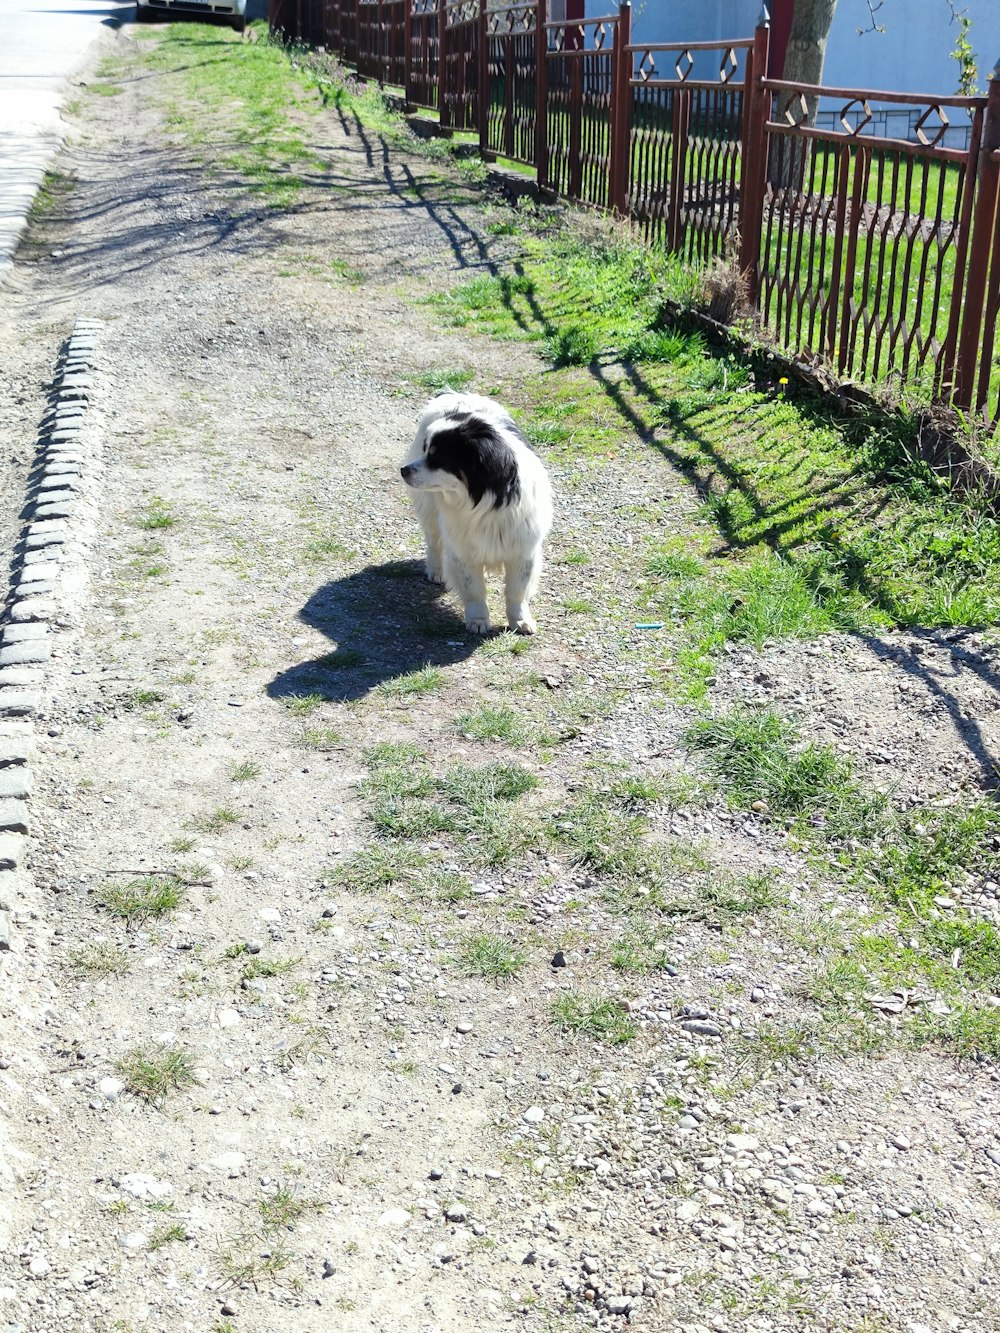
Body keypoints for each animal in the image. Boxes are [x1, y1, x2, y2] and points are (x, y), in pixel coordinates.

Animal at [402, 389, 557, 634]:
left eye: (437, 456)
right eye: (426, 449)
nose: (403, 471)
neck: (484, 502)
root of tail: (455, 395)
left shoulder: (523, 551)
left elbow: (517, 591)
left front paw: (520, 620)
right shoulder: (463, 549)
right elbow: (474, 589)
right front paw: (478, 620)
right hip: (429, 511)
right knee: (433, 541)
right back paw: (436, 571)